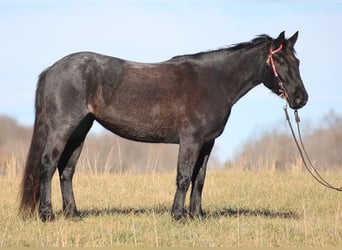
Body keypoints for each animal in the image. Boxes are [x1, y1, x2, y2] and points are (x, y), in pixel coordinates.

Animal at [19, 30, 310, 221]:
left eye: (297, 62)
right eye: (280, 61)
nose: (301, 98)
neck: (214, 81)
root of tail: (52, 69)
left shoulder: (207, 142)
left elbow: (199, 179)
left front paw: (197, 215)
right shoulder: (191, 140)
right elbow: (183, 177)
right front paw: (178, 216)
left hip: (80, 130)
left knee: (66, 170)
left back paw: (73, 214)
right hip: (62, 128)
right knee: (48, 165)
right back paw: (47, 215)